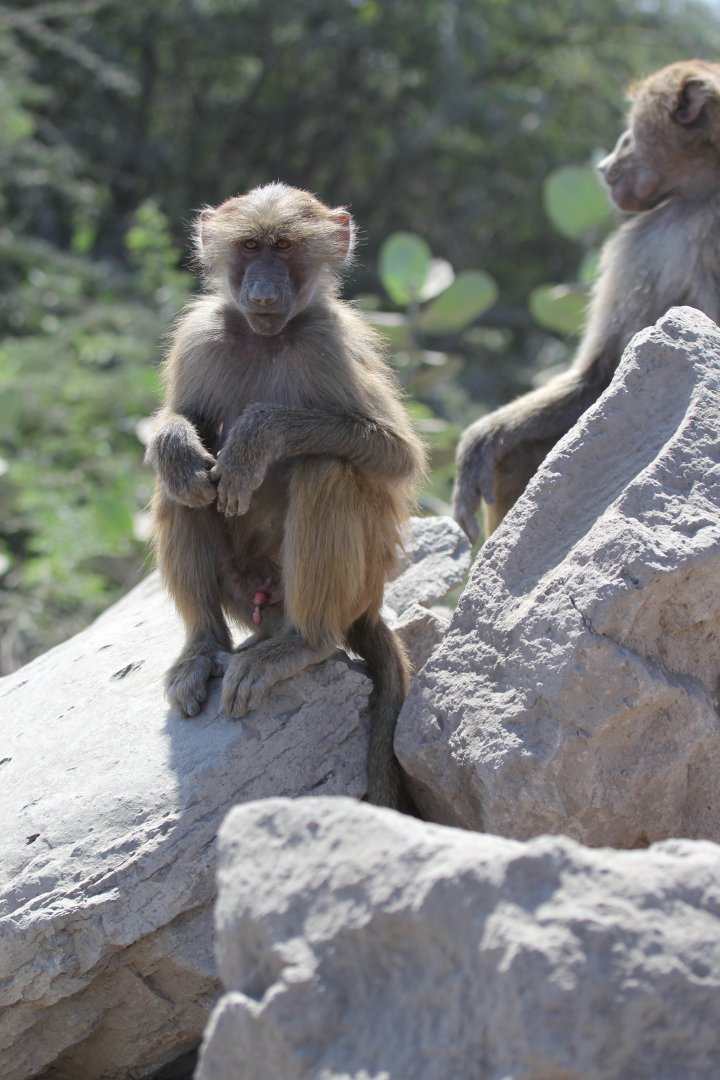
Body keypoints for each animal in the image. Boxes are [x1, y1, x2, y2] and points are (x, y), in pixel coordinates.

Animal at [144, 182, 427, 810]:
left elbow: (398, 456)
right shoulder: (201, 336)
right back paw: (203, 648)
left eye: (286, 247)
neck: (264, 340)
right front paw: (176, 442)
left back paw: (304, 645)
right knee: (181, 489)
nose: (265, 292)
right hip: (245, 592)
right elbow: (181, 430)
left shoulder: (330, 345)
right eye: (251, 246)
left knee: (325, 469)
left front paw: (256, 438)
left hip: (352, 584)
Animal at [453, 59, 720, 543]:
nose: (606, 163)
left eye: (631, 130)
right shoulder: (643, 241)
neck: (708, 194)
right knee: (520, 453)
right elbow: (600, 374)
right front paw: (480, 441)